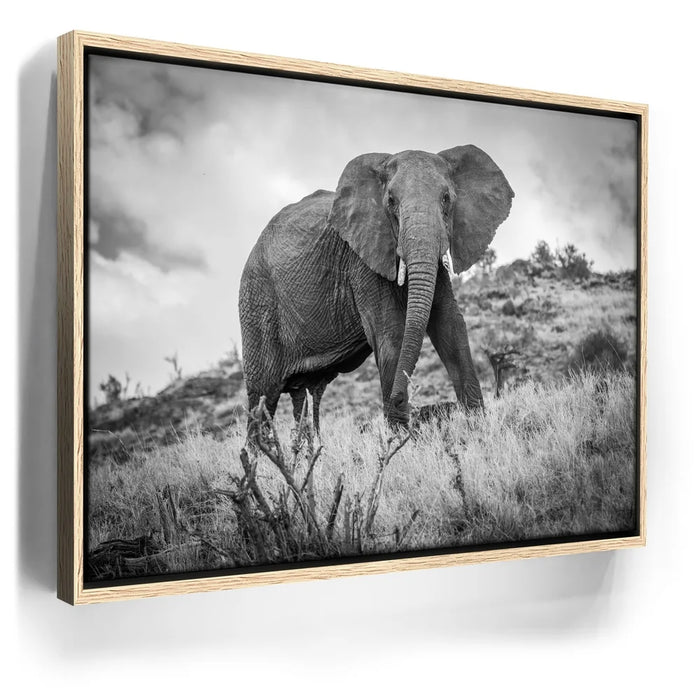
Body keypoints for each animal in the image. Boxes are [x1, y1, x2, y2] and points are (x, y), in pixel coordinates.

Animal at [239, 145, 514, 435]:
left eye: (447, 198)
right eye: (391, 201)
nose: (401, 398)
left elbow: (449, 324)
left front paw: (479, 427)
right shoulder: (362, 259)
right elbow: (391, 333)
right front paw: (402, 438)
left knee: (299, 394)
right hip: (257, 300)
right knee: (263, 393)